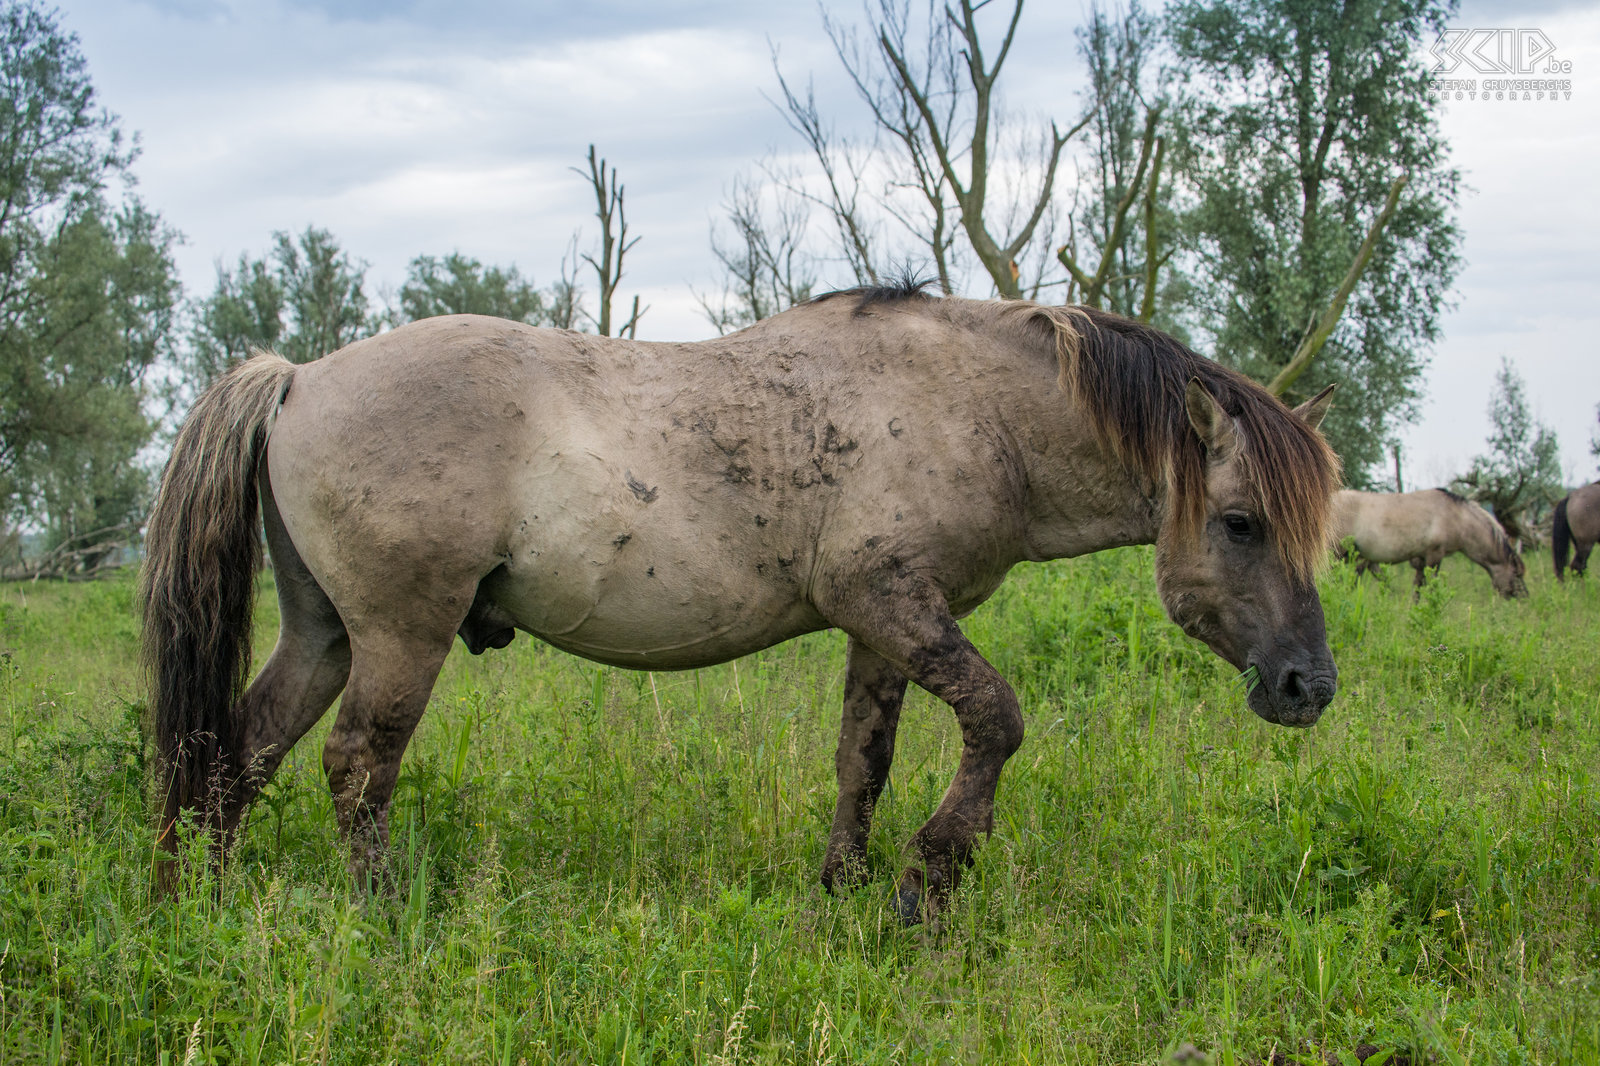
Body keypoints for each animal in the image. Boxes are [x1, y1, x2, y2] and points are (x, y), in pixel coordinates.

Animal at [137, 288, 1344, 915]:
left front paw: (845, 889)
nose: (1308, 687)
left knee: (241, 749)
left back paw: (204, 903)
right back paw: (386, 917)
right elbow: (997, 721)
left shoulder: (885, 625)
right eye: (1241, 523)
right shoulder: (887, 599)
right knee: (355, 766)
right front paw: (930, 876)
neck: (966, 406)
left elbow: (866, 758)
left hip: (325, 634)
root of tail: (296, 377)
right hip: (400, 635)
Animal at [1331, 486, 1529, 598]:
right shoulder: (1434, 555)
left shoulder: (1420, 559)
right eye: (1517, 574)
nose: (1524, 597)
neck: (1458, 518)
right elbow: (1431, 587)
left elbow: (1417, 590)